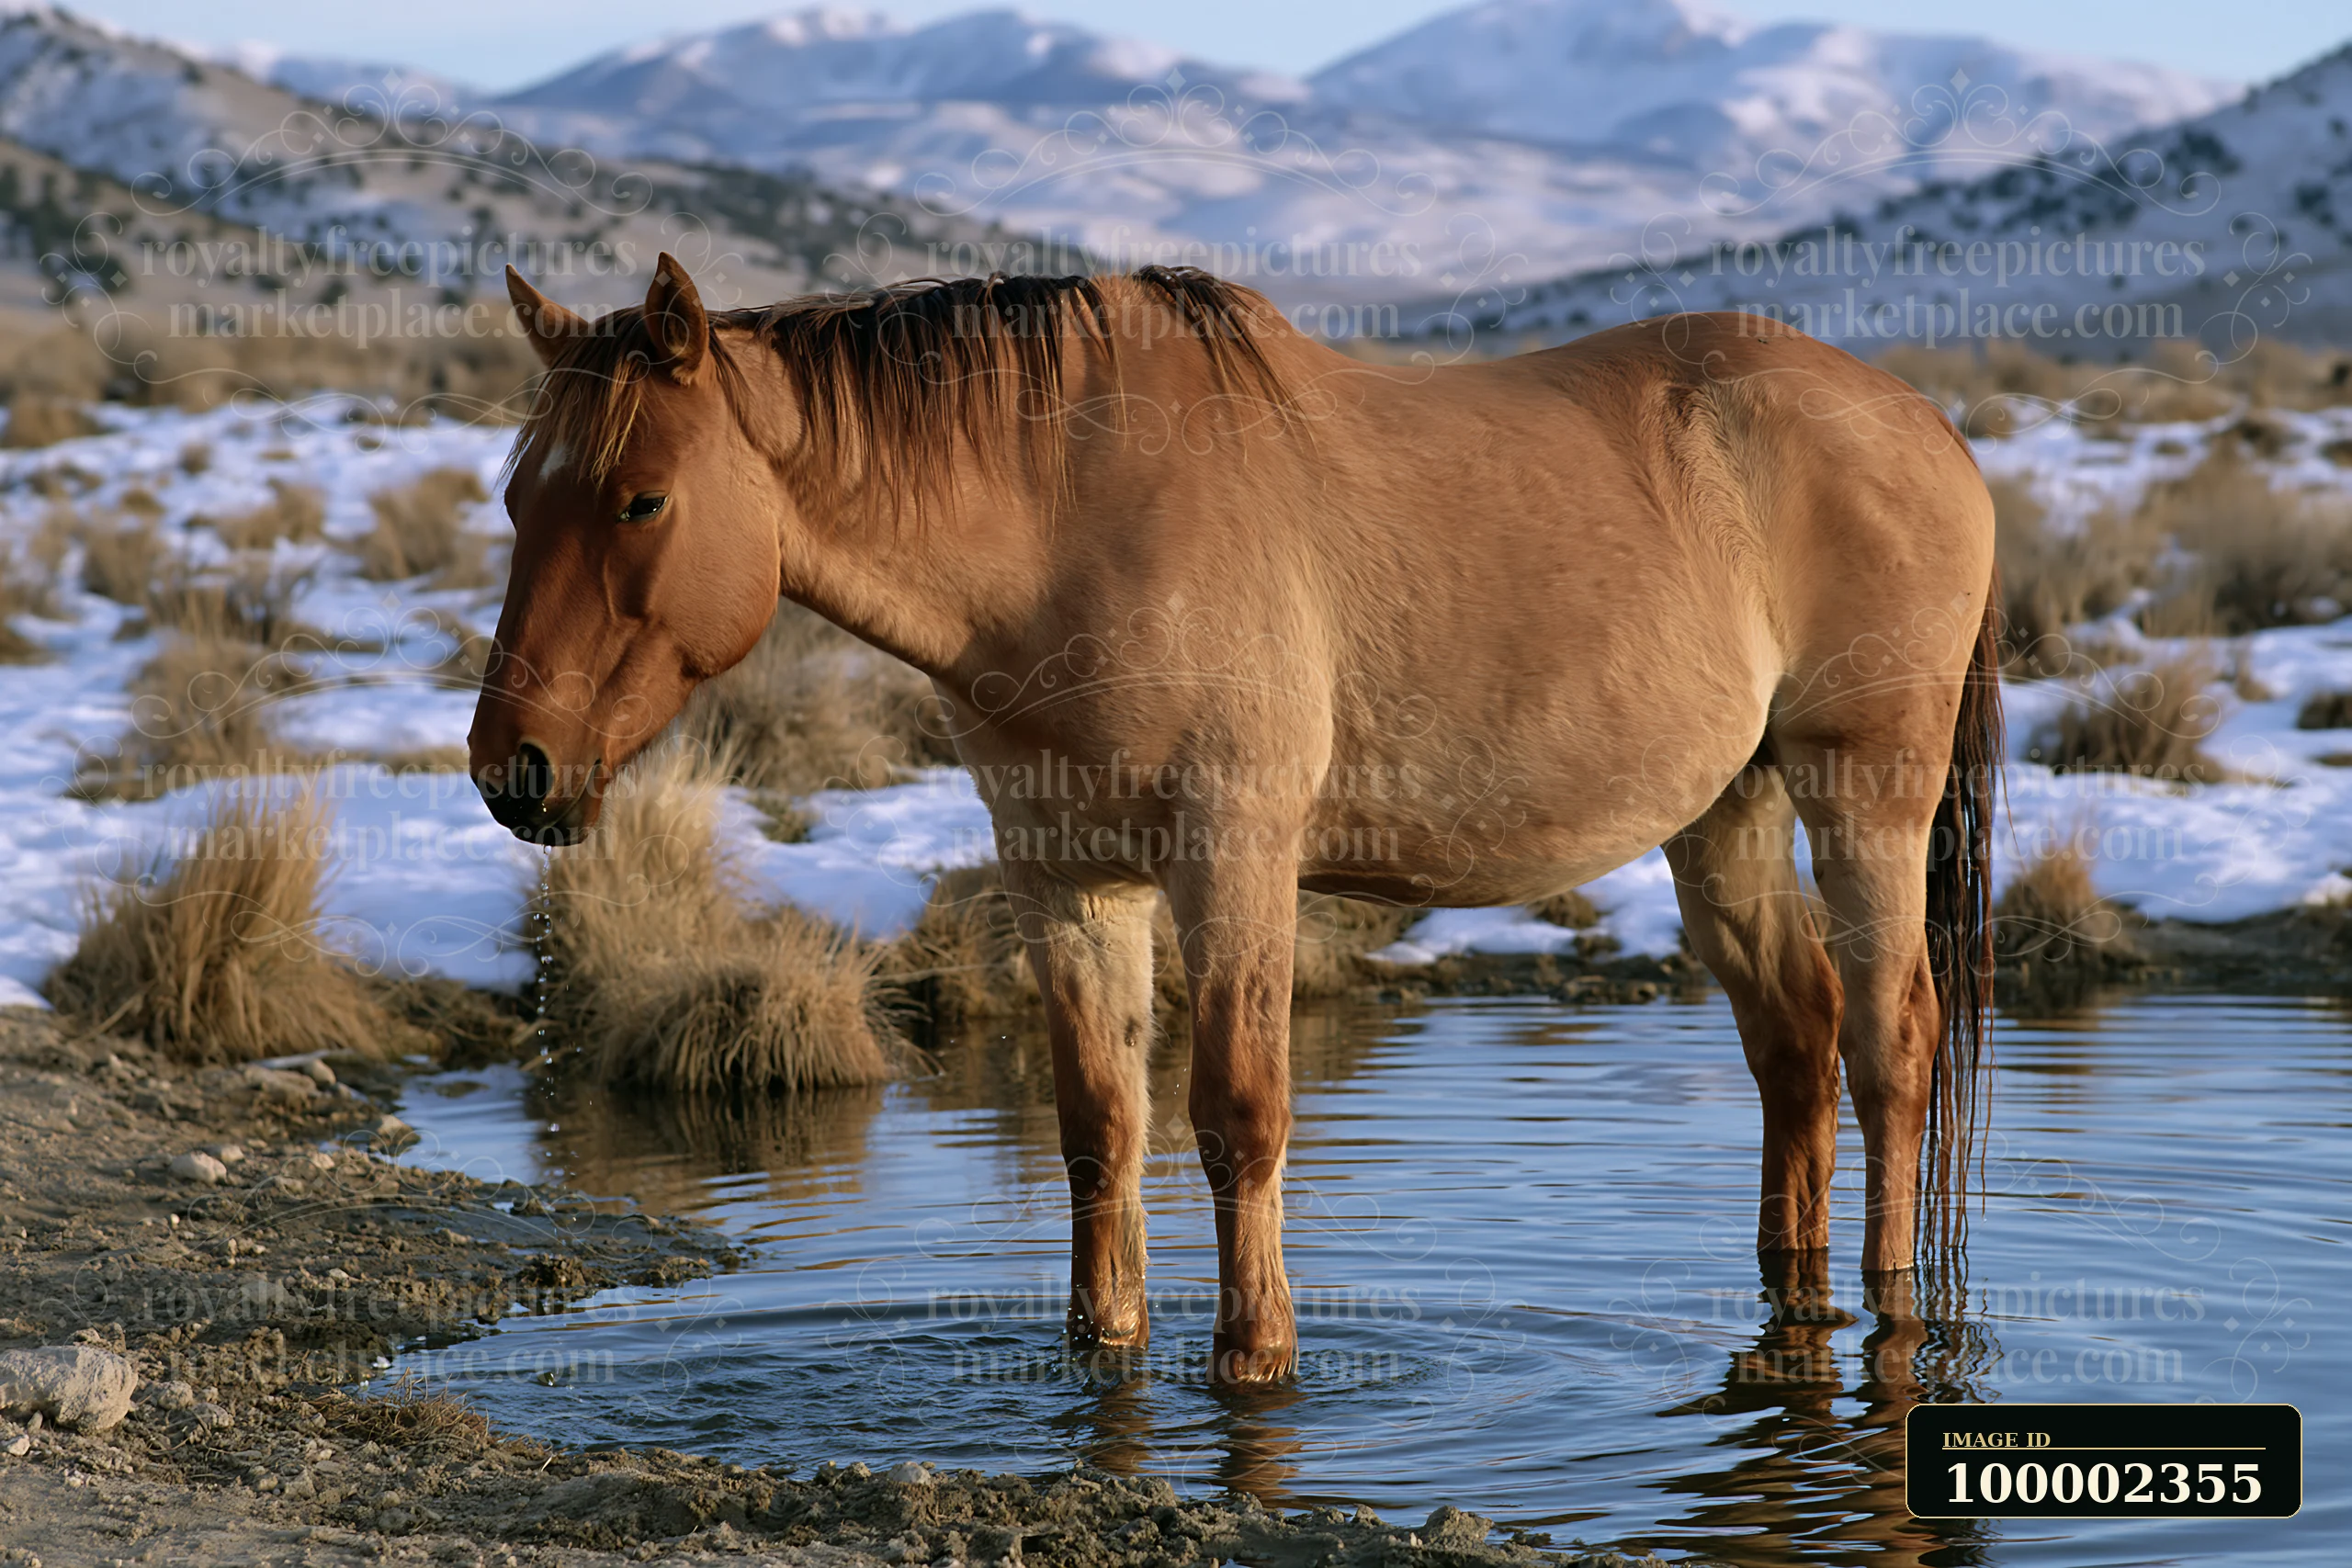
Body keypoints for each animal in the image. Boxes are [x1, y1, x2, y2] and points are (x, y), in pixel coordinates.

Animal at [471, 254, 2001, 1385]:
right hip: (1724, 812)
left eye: (642, 497)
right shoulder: (1069, 879)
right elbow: (1100, 1121)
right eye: (514, 496)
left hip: (1862, 788)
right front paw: (1104, 1347)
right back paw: (1791, 1288)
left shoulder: (1235, 859)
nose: (515, 768)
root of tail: (1926, 425)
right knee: (1796, 1043)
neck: (1070, 519)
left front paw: (1256, 1357)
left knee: (1887, 1044)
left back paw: (1886, 1298)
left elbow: (1239, 1113)